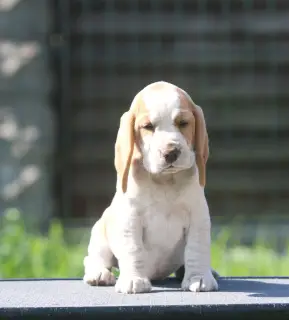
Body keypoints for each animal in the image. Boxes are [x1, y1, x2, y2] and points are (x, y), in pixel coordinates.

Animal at [83, 81, 218, 294]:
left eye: (183, 123)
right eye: (147, 127)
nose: (171, 152)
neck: (164, 182)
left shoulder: (198, 217)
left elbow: (197, 249)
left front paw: (199, 277)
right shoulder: (130, 220)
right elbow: (133, 250)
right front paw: (134, 280)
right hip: (100, 233)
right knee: (94, 258)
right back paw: (99, 274)